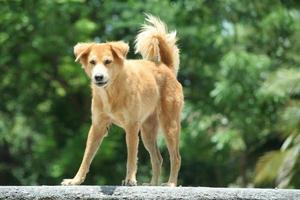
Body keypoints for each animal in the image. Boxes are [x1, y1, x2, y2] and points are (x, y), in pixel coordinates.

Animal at [61, 14, 183, 187]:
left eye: (108, 61)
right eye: (92, 62)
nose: (98, 77)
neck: (111, 92)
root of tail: (166, 67)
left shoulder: (131, 126)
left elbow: (131, 157)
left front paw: (130, 179)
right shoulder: (97, 126)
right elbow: (86, 157)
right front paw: (76, 180)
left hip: (169, 125)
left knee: (176, 157)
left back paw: (171, 183)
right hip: (147, 131)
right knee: (157, 159)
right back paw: (152, 184)